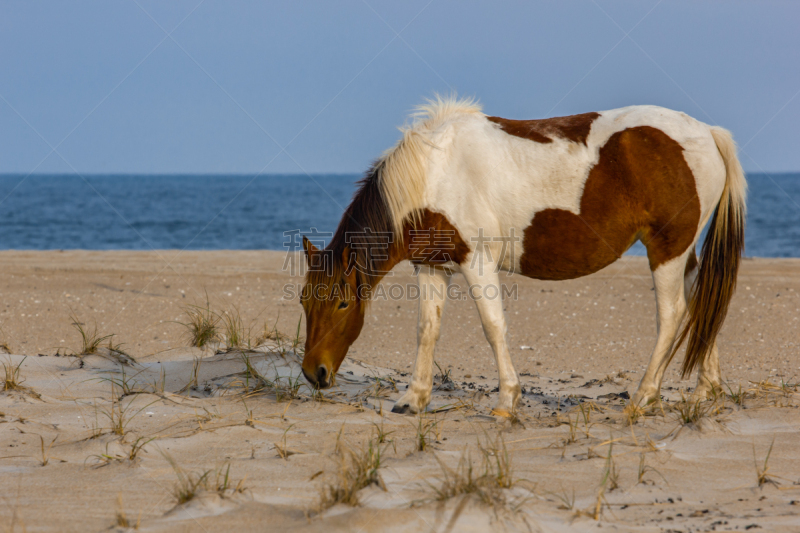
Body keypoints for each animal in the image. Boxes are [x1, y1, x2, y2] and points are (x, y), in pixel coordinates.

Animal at [296, 96, 748, 416]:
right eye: (304, 301)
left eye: (341, 303)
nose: (314, 373)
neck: (434, 173)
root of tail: (707, 132)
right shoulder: (432, 265)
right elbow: (427, 330)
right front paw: (414, 399)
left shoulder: (476, 262)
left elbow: (493, 327)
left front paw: (506, 401)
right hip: (684, 253)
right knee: (701, 304)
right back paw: (705, 391)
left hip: (667, 250)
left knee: (671, 316)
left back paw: (643, 396)